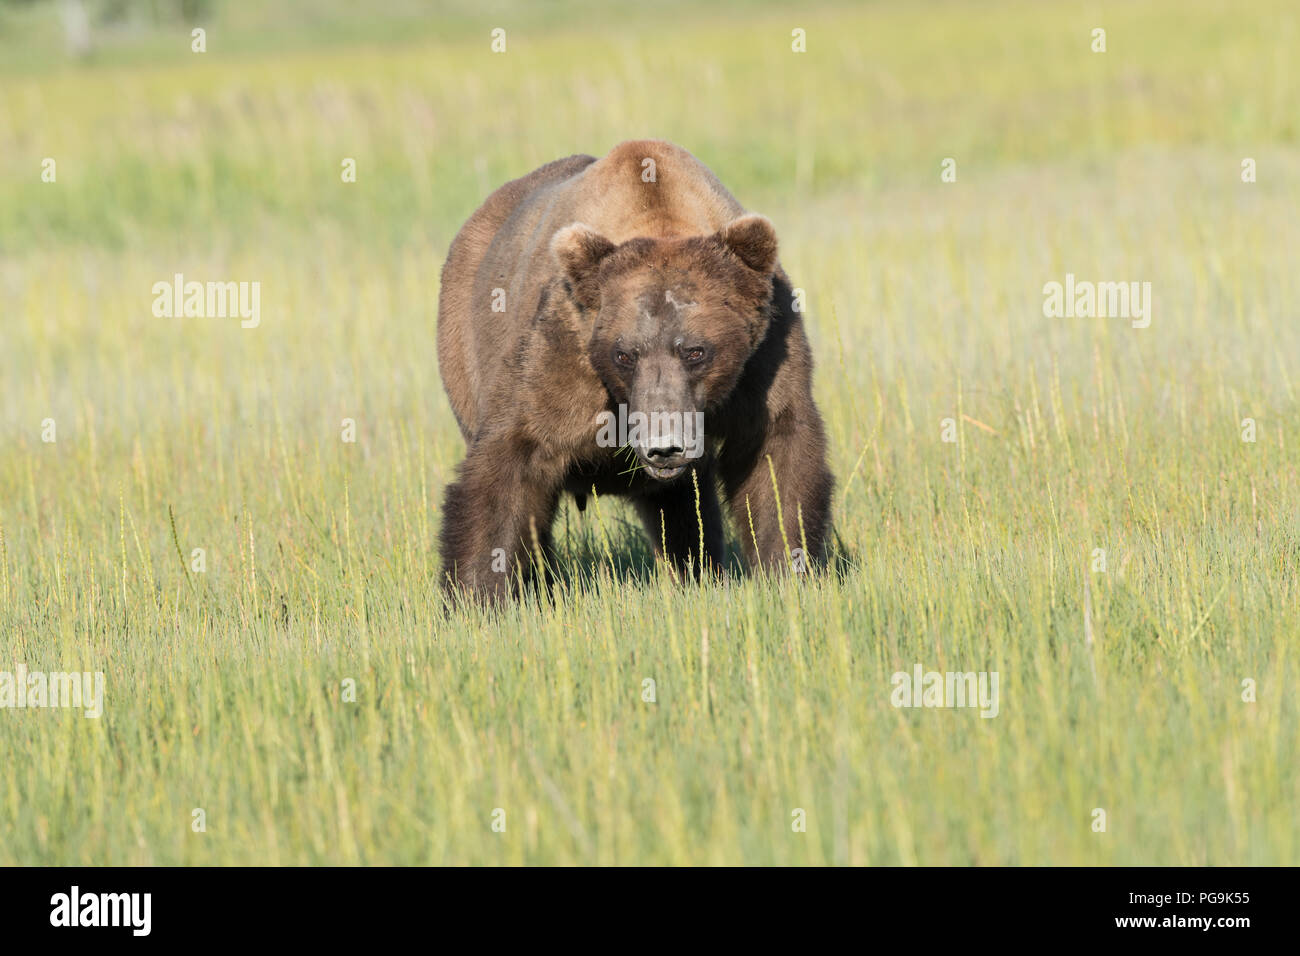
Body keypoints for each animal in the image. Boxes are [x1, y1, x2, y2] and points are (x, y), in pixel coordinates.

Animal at [436, 138, 832, 600]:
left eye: (695, 351)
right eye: (624, 354)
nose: (664, 445)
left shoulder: (764, 358)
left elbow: (774, 456)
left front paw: (789, 573)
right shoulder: (562, 349)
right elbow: (512, 460)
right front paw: (479, 594)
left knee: (682, 506)